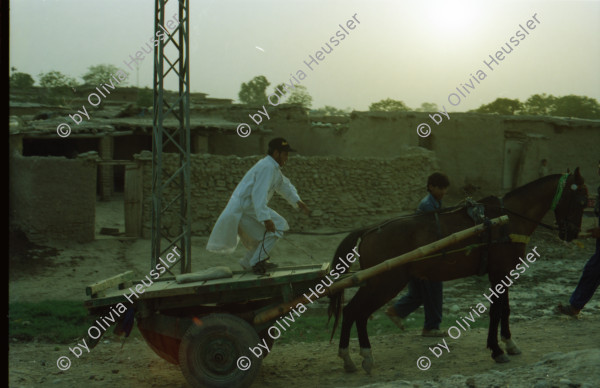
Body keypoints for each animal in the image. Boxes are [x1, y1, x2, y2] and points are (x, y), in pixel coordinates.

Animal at [328, 169, 584, 372]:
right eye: (580, 200)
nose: (572, 233)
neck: (508, 219)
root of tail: (369, 230)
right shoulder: (498, 273)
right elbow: (496, 311)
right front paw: (497, 350)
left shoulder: (505, 273)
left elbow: (506, 309)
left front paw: (509, 344)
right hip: (384, 282)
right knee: (355, 312)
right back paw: (358, 355)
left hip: (377, 283)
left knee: (354, 313)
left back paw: (353, 358)